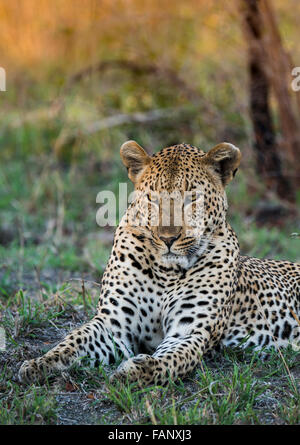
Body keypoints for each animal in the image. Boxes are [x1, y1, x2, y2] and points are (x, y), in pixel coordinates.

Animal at [19, 140, 300, 384]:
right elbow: (72, 342)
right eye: (152, 197)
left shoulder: (189, 330)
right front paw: (38, 364)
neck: (167, 271)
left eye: (192, 198)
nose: (168, 238)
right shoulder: (114, 324)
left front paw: (133, 371)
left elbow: (169, 361)